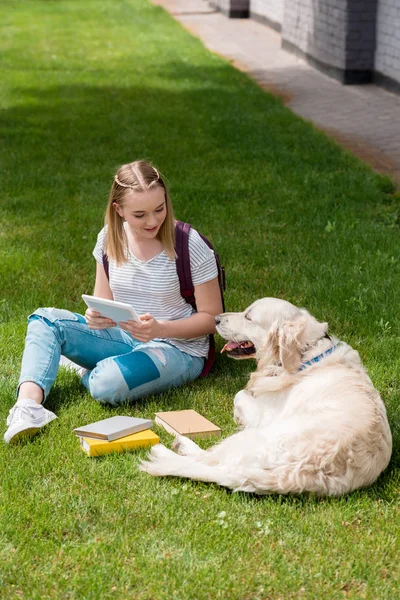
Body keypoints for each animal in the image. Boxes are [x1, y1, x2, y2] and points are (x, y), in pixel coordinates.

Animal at [141, 296, 394, 496]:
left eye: (248, 317)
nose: (216, 319)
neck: (303, 354)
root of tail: (295, 474)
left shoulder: (264, 415)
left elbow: (240, 394)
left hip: (254, 437)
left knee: (210, 460)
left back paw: (170, 448)